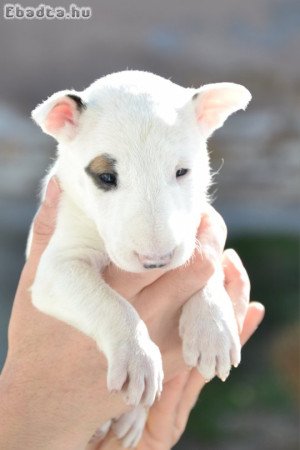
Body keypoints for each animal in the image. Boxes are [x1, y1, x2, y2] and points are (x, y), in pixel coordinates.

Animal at [28, 70, 251, 446]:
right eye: (106, 177)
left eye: (182, 171)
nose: (156, 261)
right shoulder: (56, 268)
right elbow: (108, 302)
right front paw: (138, 357)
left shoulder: (200, 228)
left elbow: (209, 269)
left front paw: (214, 329)